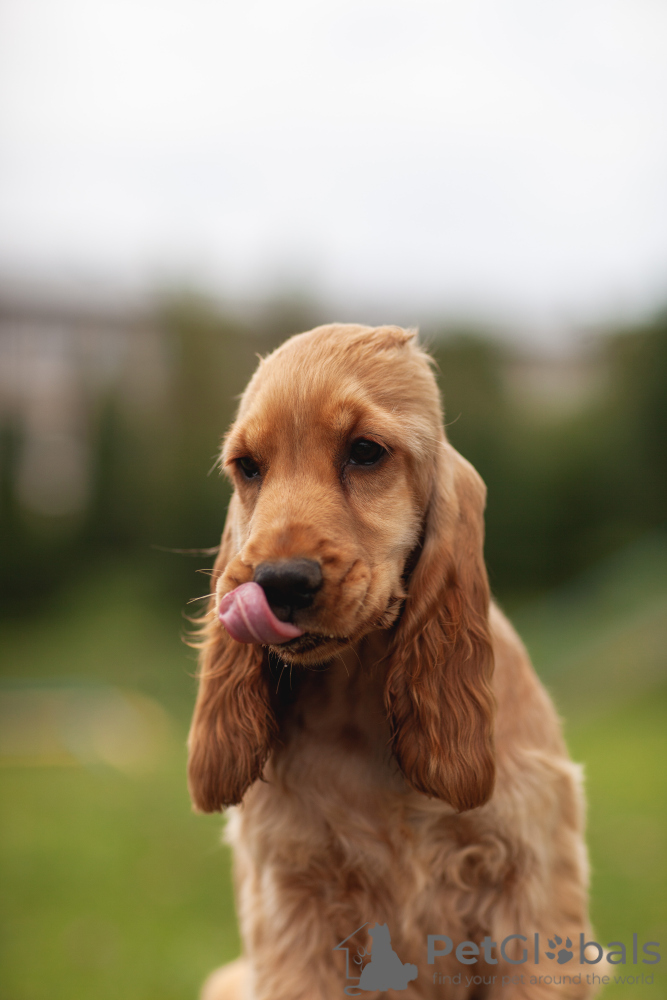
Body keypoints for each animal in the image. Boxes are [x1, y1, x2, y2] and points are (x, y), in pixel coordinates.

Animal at [188, 324, 600, 996]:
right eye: (247, 467)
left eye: (365, 452)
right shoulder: (291, 910)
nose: (279, 583)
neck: (361, 700)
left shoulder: (533, 901)